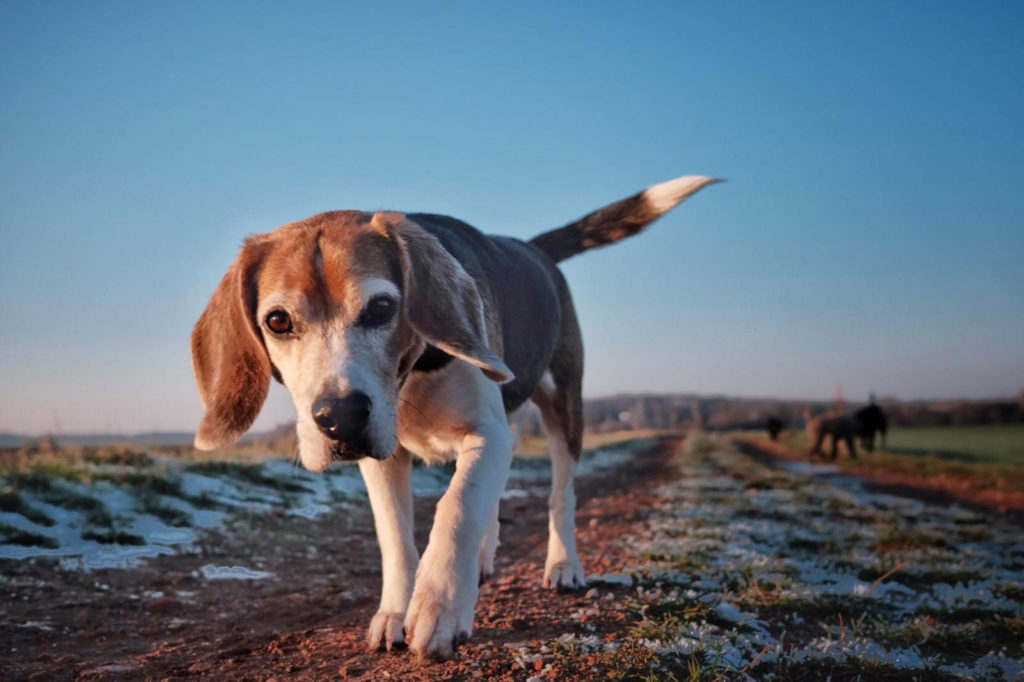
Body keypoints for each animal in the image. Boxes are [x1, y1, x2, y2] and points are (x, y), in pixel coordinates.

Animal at [192, 173, 720, 655]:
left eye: (382, 307)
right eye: (278, 321)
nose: (341, 417)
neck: (411, 378)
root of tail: (534, 250)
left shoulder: (487, 434)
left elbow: (458, 505)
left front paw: (438, 607)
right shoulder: (385, 456)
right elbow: (396, 536)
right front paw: (395, 611)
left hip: (564, 406)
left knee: (560, 495)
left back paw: (563, 565)